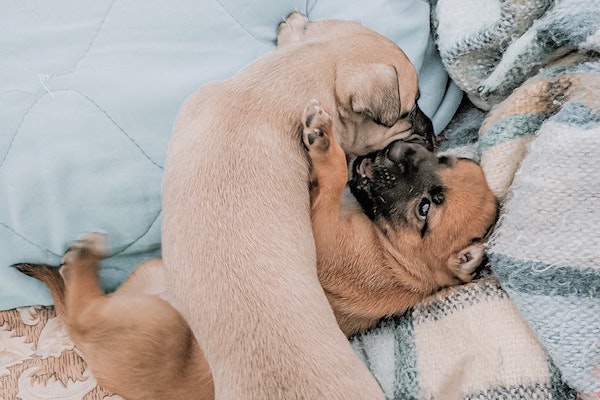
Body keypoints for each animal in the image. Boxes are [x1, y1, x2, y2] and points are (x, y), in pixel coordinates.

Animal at [302, 100, 500, 334]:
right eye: (441, 160)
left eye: (425, 208)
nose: (398, 149)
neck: (393, 252)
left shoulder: (323, 243)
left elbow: (336, 174)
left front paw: (322, 137)